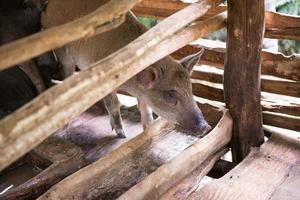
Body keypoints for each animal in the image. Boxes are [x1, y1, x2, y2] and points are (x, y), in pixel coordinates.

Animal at [41, 0, 211, 138]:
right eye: (171, 94)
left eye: (190, 88)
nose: (206, 127)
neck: (130, 84)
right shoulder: (106, 81)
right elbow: (114, 103)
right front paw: (122, 135)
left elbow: (145, 109)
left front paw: (147, 129)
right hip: (62, 52)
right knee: (66, 74)